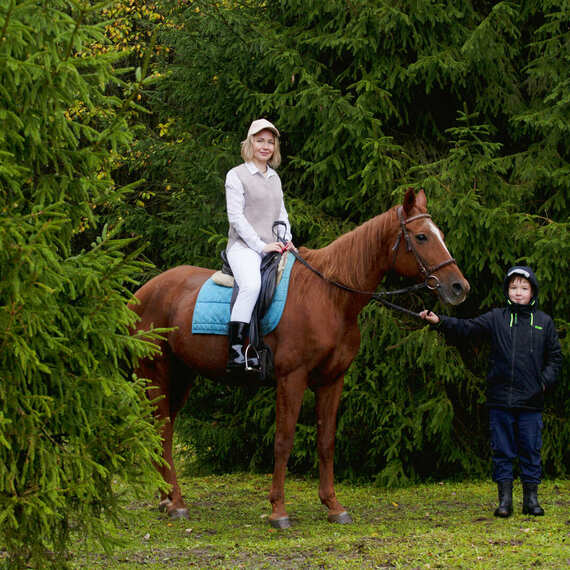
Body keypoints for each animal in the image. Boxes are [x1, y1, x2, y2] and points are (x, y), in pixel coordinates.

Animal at [131, 189, 468, 524]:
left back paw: (167, 499)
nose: (459, 287)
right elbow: (283, 440)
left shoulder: (332, 380)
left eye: (440, 234)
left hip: (181, 377)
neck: (328, 296)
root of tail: (141, 294)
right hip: (157, 374)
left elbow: (326, 441)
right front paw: (278, 510)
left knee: (164, 431)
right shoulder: (291, 379)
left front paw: (333, 505)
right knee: (163, 430)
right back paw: (175, 502)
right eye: (422, 236)